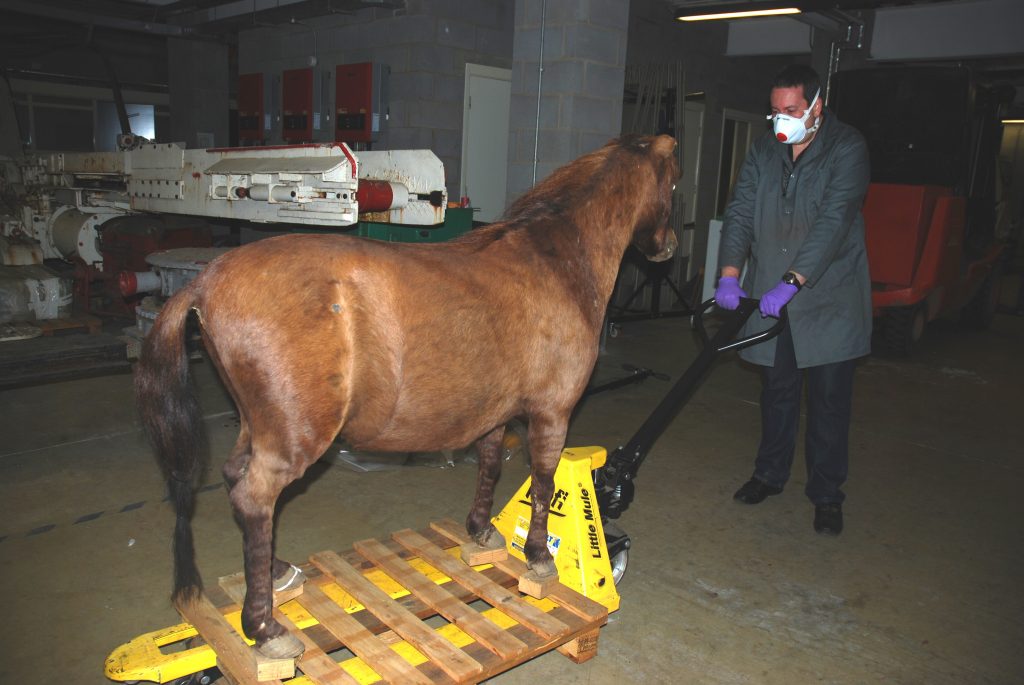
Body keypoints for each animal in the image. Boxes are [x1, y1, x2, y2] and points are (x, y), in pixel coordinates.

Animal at [136, 132, 679, 655]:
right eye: (672, 184)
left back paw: (278, 574)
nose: (669, 246)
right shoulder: (553, 412)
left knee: (235, 478)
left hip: (258, 424)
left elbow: (489, 464)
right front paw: (540, 556)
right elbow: (544, 483)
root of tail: (205, 282)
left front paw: (481, 530)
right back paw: (265, 628)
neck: (556, 258)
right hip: (294, 439)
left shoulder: (496, 413)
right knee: (254, 498)